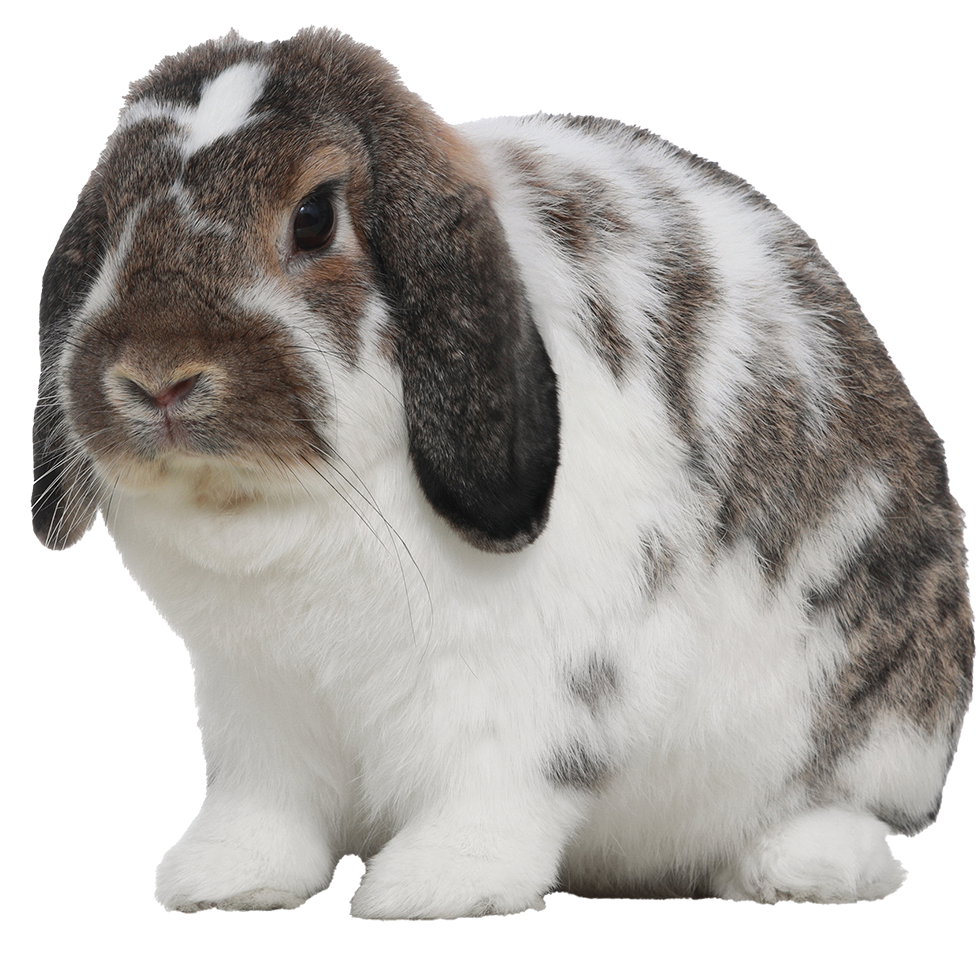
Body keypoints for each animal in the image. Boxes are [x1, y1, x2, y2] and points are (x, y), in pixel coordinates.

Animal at [31, 25, 973, 919]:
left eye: (314, 217)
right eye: (108, 222)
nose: (156, 378)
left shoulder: (530, 685)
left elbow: (497, 785)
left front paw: (440, 886)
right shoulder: (257, 700)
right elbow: (265, 805)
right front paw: (226, 880)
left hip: (871, 729)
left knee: (850, 819)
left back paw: (800, 870)